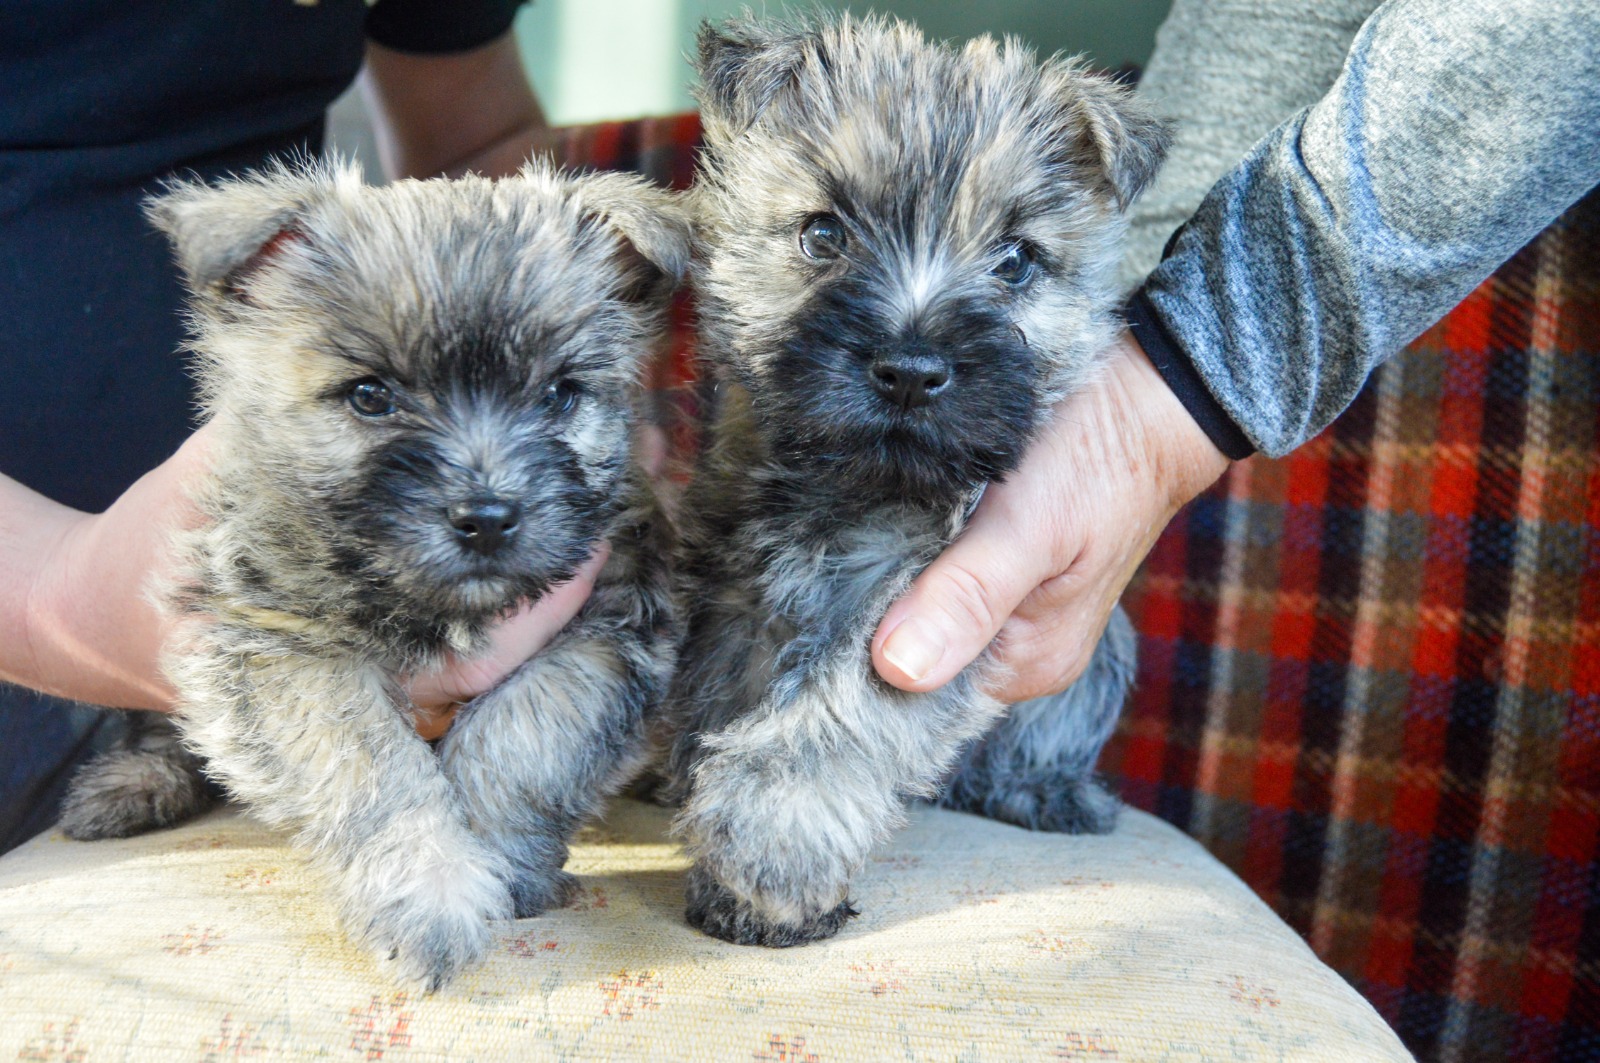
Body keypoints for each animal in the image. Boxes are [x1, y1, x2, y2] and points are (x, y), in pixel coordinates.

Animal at [59, 160, 684, 986]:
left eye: (561, 392)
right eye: (369, 395)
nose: (488, 517)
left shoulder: (607, 628)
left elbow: (522, 740)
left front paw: (492, 858)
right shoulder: (282, 648)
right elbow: (375, 770)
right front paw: (432, 889)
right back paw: (131, 784)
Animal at [662, 14, 1177, 947]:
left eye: (1016, 261)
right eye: (822, 234)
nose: (910, 371)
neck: (856, 487)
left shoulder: (934, 611)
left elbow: (840, 712)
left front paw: (770, 837)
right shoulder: (738, 593)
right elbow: (729, 695)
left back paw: (1045, 791)